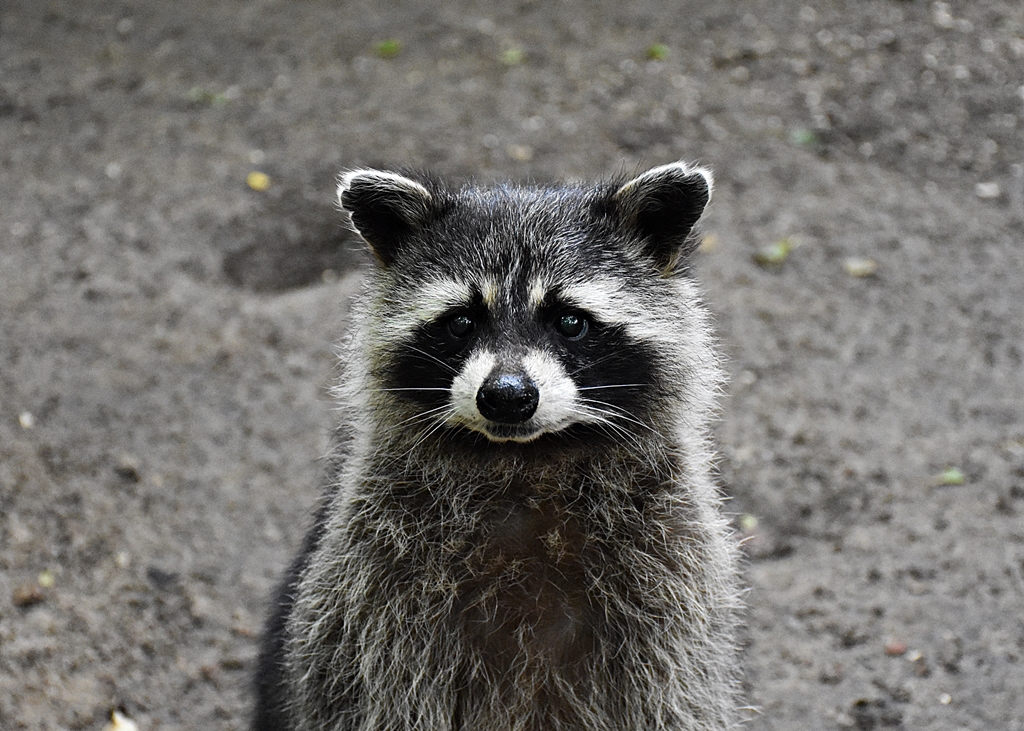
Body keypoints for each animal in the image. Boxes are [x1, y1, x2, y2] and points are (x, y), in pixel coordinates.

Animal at [252, 162, 743, 731]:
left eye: (570, 320)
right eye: (461, 321)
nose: (507, 397)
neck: (525, 460)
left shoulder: (672, 582)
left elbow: (669, 698)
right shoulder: (370, 592)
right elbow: (381, 694)